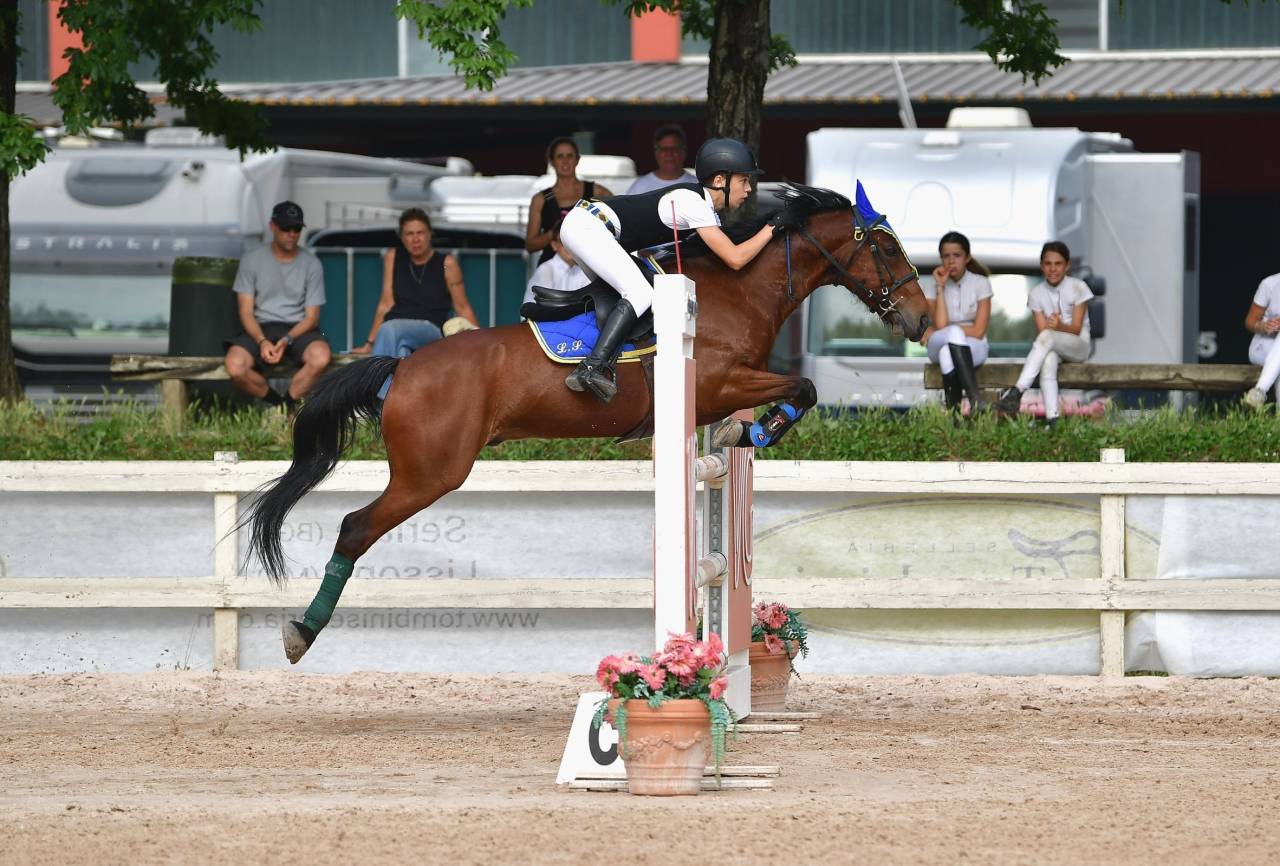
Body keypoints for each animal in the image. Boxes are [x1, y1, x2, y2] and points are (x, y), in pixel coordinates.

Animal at [241, 182, 932, 662]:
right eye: (885, 246)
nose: (923, 320)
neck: (739, 290)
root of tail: (402, 368)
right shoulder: (716, 382)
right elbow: (804, 386)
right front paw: (756, 430)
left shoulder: (718, 393)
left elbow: (792, 393)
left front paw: (748, 431)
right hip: (430, 473)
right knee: (355, 528)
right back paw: (301, 633)